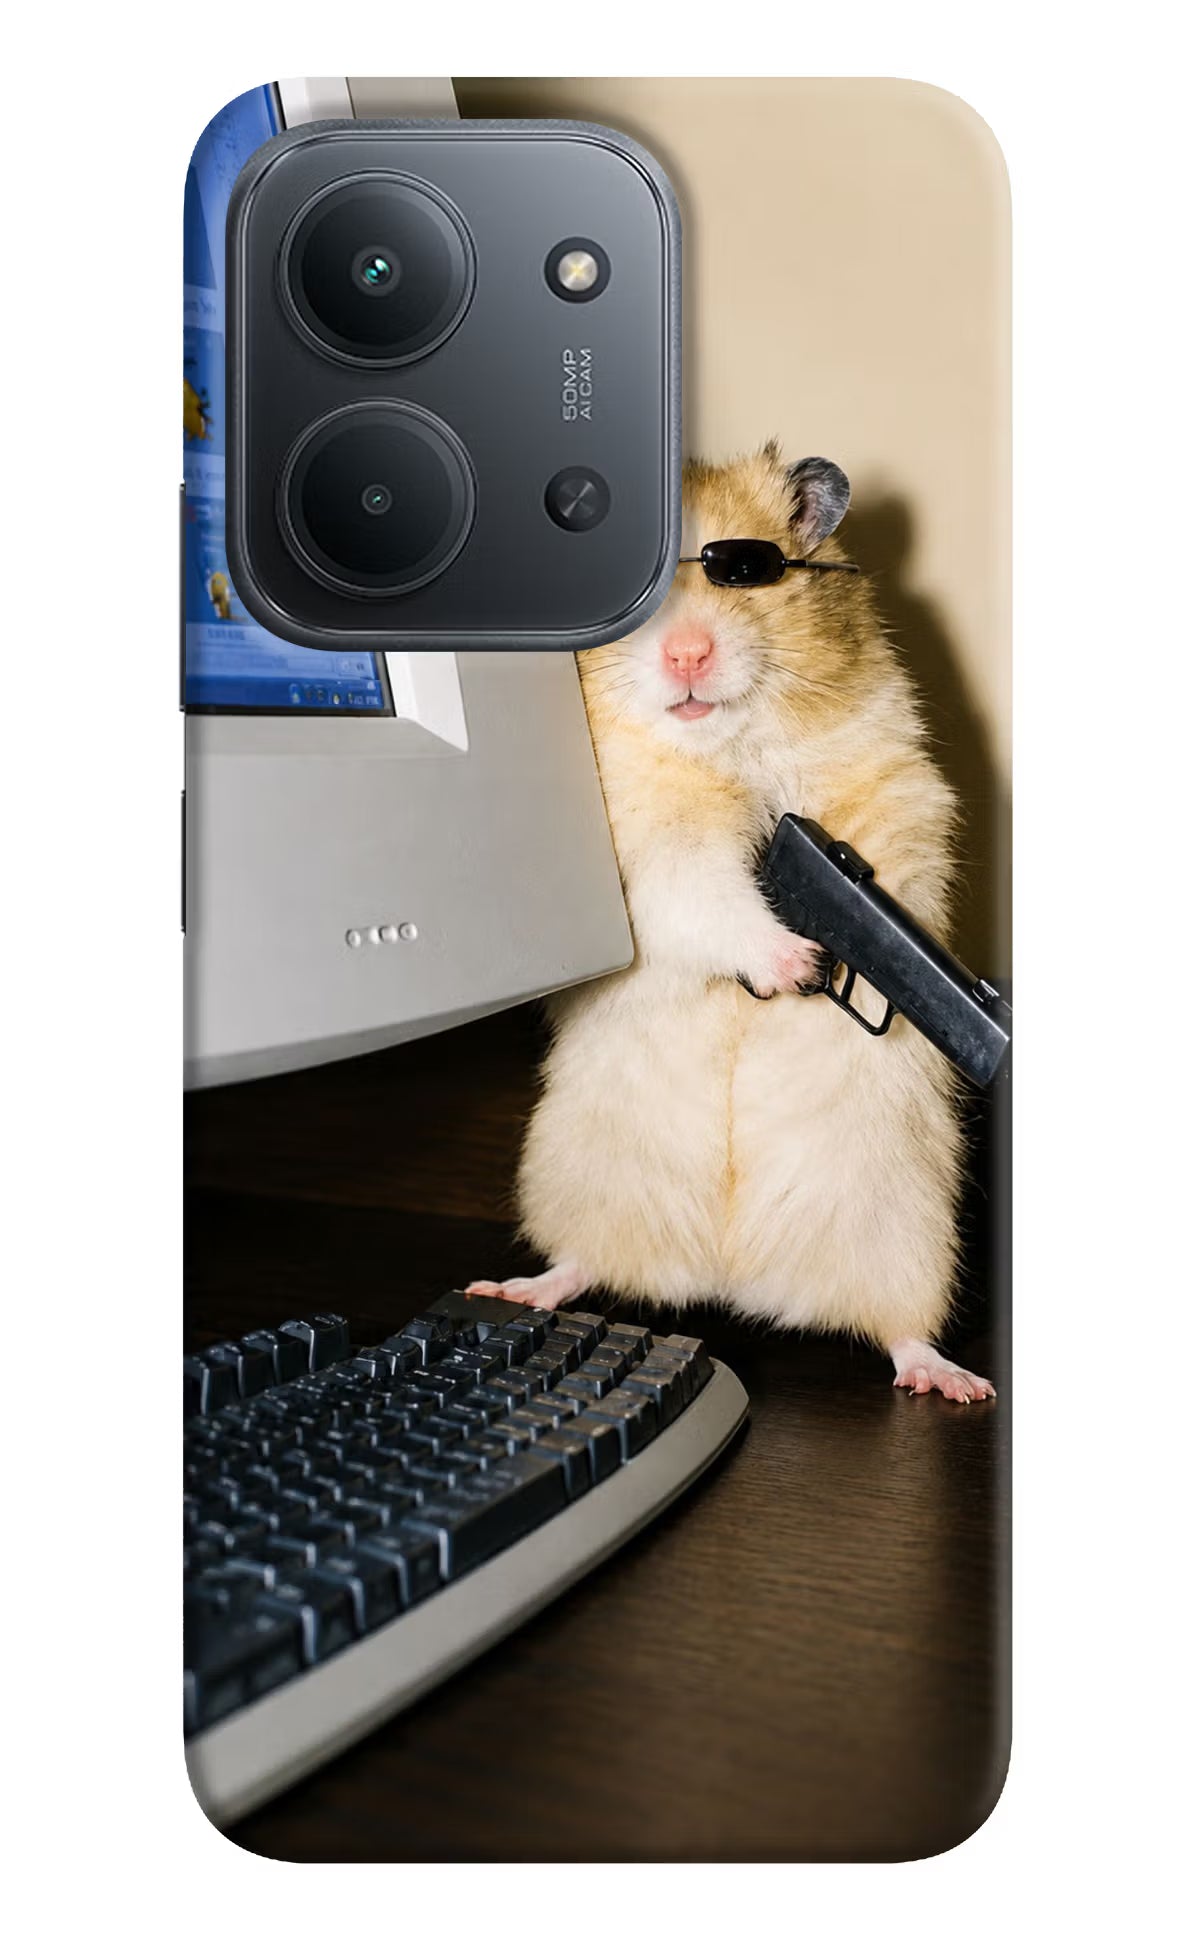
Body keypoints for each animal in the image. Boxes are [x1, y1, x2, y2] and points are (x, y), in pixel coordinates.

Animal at [469, 445, 994, 1402]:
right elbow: (708, 895)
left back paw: (954, 1381)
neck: (727, 746)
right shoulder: (650, 851)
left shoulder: (895, 788)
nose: (687, 653)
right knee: (582, 1263)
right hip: (579, 1177)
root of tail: (730, 1276)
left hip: (908, 1229)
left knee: (900, 1329)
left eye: (746, 573)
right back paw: (515, 1288)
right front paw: (797, 964)